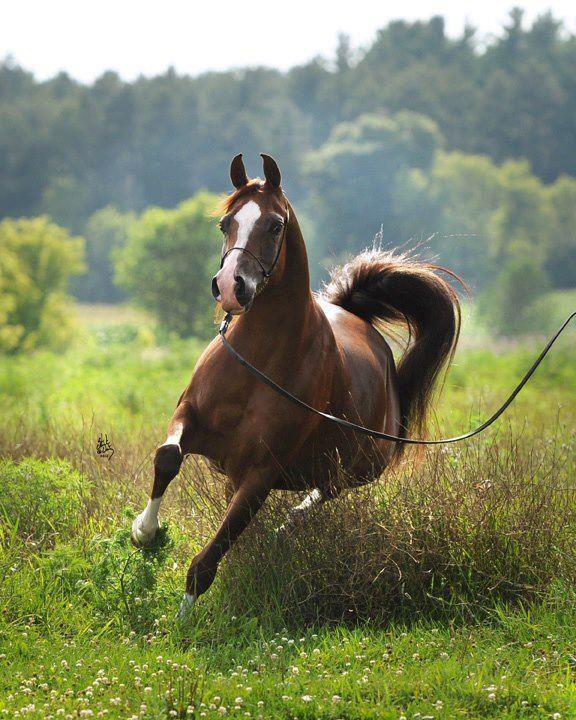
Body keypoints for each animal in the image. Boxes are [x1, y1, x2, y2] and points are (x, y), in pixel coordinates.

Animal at [130, 152, 460, 612]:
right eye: (225, 223)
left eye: (274, 225)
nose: (230, 288)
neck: (257, 361)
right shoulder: (190, 417)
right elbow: (167, 457)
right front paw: (144, 531)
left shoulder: (261, 473)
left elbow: (208, 559)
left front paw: (183, 619)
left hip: (354, 472)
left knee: (313, 502)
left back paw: (282, 533)